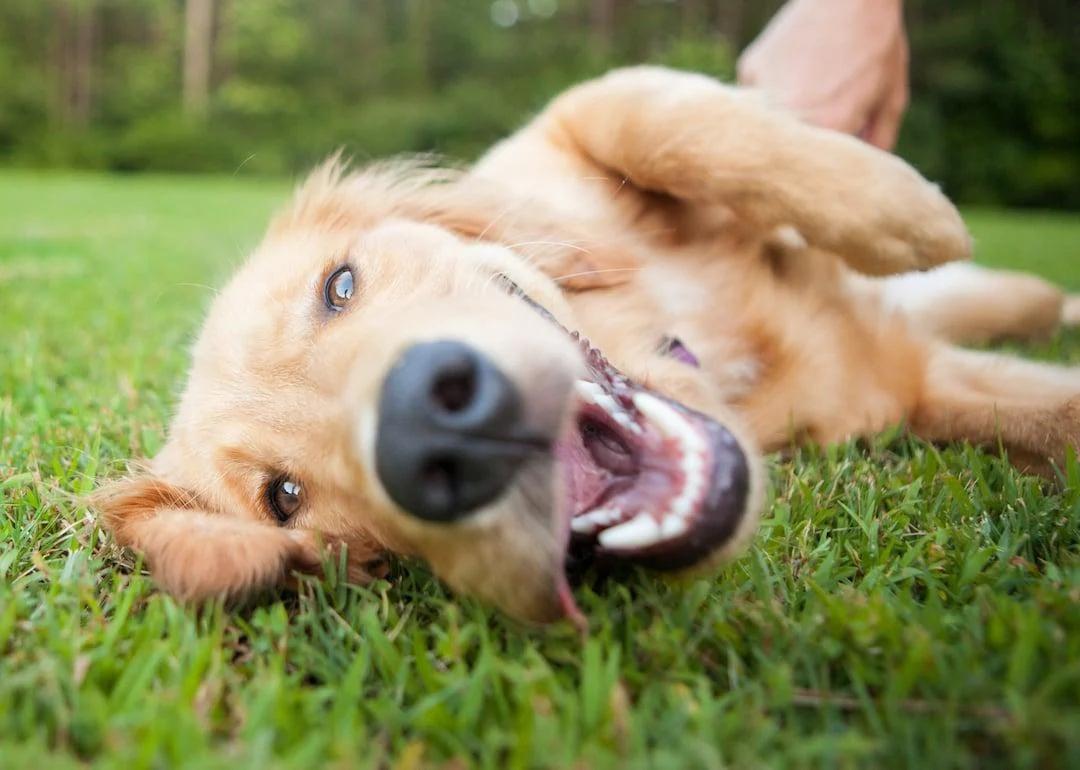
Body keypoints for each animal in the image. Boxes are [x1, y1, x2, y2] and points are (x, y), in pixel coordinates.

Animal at [95, 67, 1080, 626]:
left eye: (339, 287)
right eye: (285, 498)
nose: (432, 430)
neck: (700, 350)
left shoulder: (570, 125)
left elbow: (659, 117)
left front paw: (900, 210)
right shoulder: (906, 387)